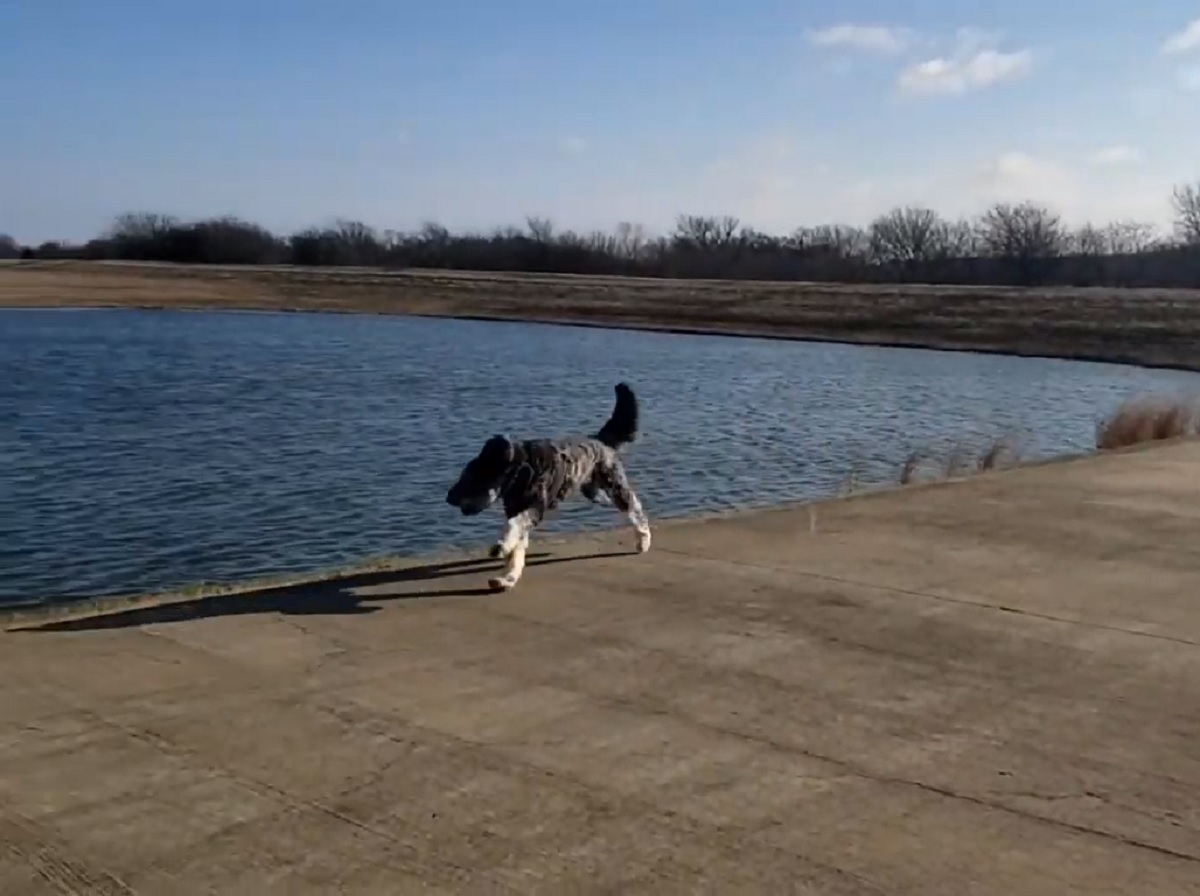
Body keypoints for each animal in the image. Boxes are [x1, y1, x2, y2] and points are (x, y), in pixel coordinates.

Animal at [446, 381, 652, 592]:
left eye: (470, 479)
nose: (449, 497)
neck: (522, 471)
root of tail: (600, 440)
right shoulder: (517, 509)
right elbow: (516, 549)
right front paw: (508, 577)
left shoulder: (534, 508)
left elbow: (513, 527)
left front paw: (502, 546)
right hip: (593, 491)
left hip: (615, 486)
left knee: (635, 509)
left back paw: (644, 540)